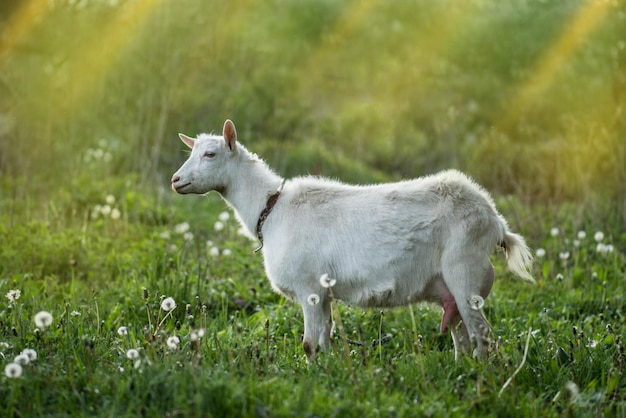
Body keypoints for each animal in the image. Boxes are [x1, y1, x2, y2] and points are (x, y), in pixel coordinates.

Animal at [171, 119, 532, 360]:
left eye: (211, 154)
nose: (176, 180)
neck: (271, 207)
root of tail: (495, 221)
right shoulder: (323, 293)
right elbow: (325, 338)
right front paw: (329, 372)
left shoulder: (308, 288)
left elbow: (309, 343)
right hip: (452, 289)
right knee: (463, 336)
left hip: (466, 271)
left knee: (481, 334)